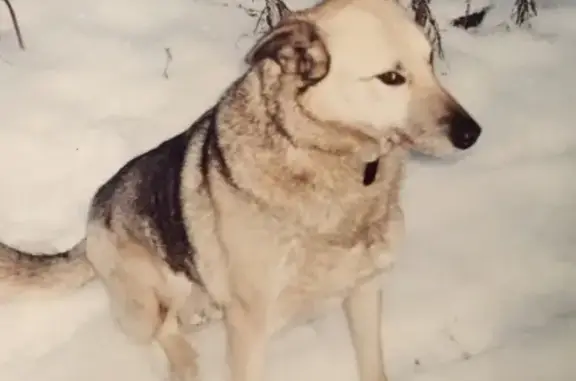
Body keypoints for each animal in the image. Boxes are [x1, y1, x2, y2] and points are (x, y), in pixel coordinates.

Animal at [0, 0, 482, 380]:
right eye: (392, 78)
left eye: (429, 63)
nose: (472, 133)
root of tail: (88, 227)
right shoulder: (251, 329)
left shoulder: (365, 292)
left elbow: (373, 367)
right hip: (145, 302)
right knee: (164, 328)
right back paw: (184, 361)